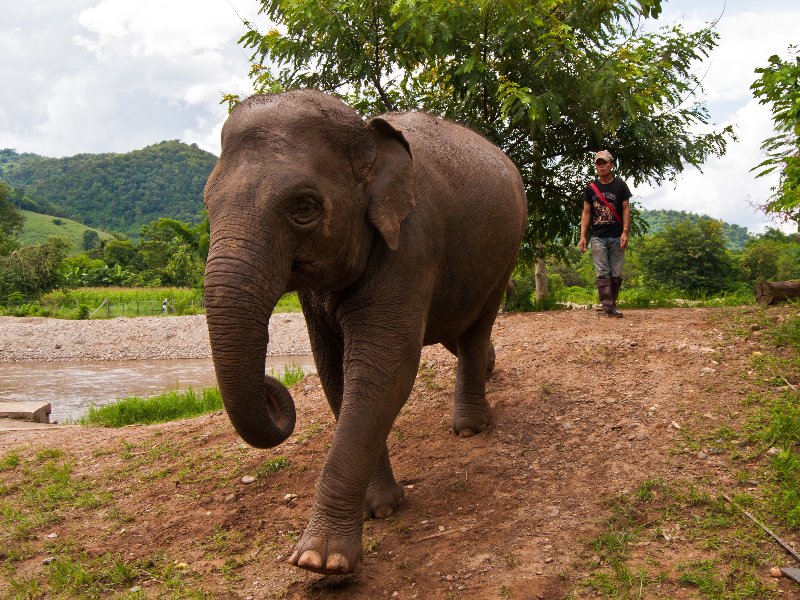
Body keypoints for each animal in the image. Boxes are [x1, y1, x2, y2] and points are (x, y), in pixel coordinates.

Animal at [203, 90, 528, 576]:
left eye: (303, 207)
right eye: (207, 205)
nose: (272, 386)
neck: (366, 135)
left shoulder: (411, 245)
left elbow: (384, 369)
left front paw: (321, 561)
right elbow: (335, 373)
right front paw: (380, 509)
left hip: (505, 252)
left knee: (477, 326)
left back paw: (470, 429)